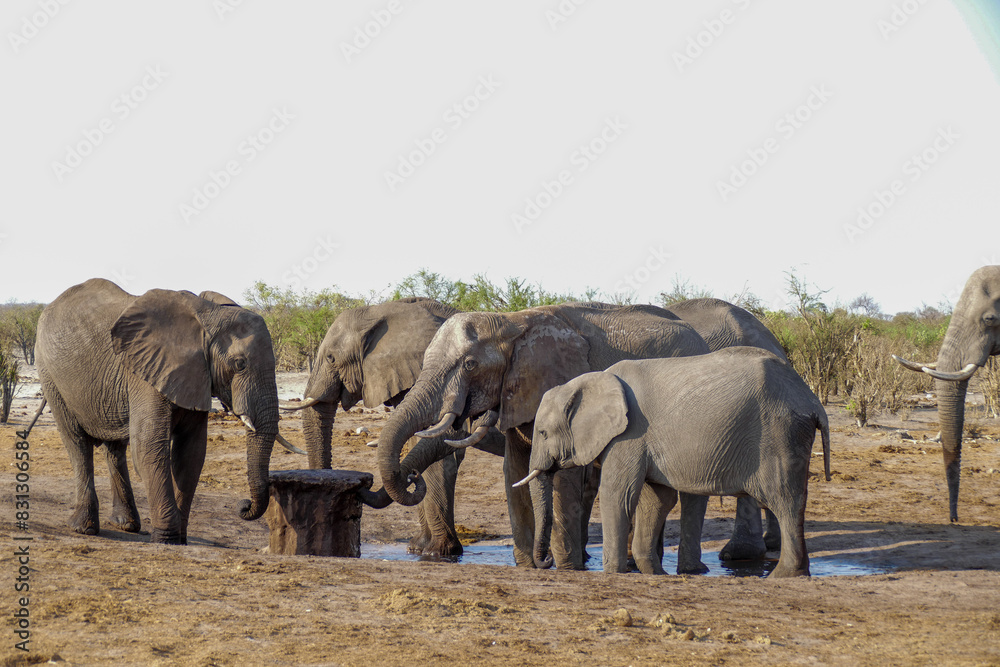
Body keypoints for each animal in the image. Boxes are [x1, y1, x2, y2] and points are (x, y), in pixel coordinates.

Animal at [35, 278, 280, 544]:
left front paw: (180, 538)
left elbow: (191, 454)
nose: (243, 506)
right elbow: (148, 447)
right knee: (77, 443)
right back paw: (83, 528)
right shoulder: (146, 372)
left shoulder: (196, 374)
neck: (207, 316)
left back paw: (126, 524)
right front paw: (167, 538)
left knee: (115, 449)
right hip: (50, 374)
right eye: (239, 364)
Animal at [282, 297, 504, 557]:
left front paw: (436, 553)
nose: (357, 486)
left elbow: (438, 455)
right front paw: (417, 548)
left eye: (330, 358)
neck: (382, 310)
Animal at [371, 302, 712, 570]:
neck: (511, 322)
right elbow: (515, 470)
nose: (412, 476)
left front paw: (567, 568)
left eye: (470, 365)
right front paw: (527, 566)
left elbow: (564, 476)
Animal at [518, 348, 831, 578]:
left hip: (780, 433)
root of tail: (813, 402)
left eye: (543, 433)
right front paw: (653, 573)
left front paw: (614, 573)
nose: (545, 563)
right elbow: (656, 499)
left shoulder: (629, 434)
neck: (590, 380)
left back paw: (783, 575)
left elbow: (618, 494)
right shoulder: (641, 440)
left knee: (784, 500)